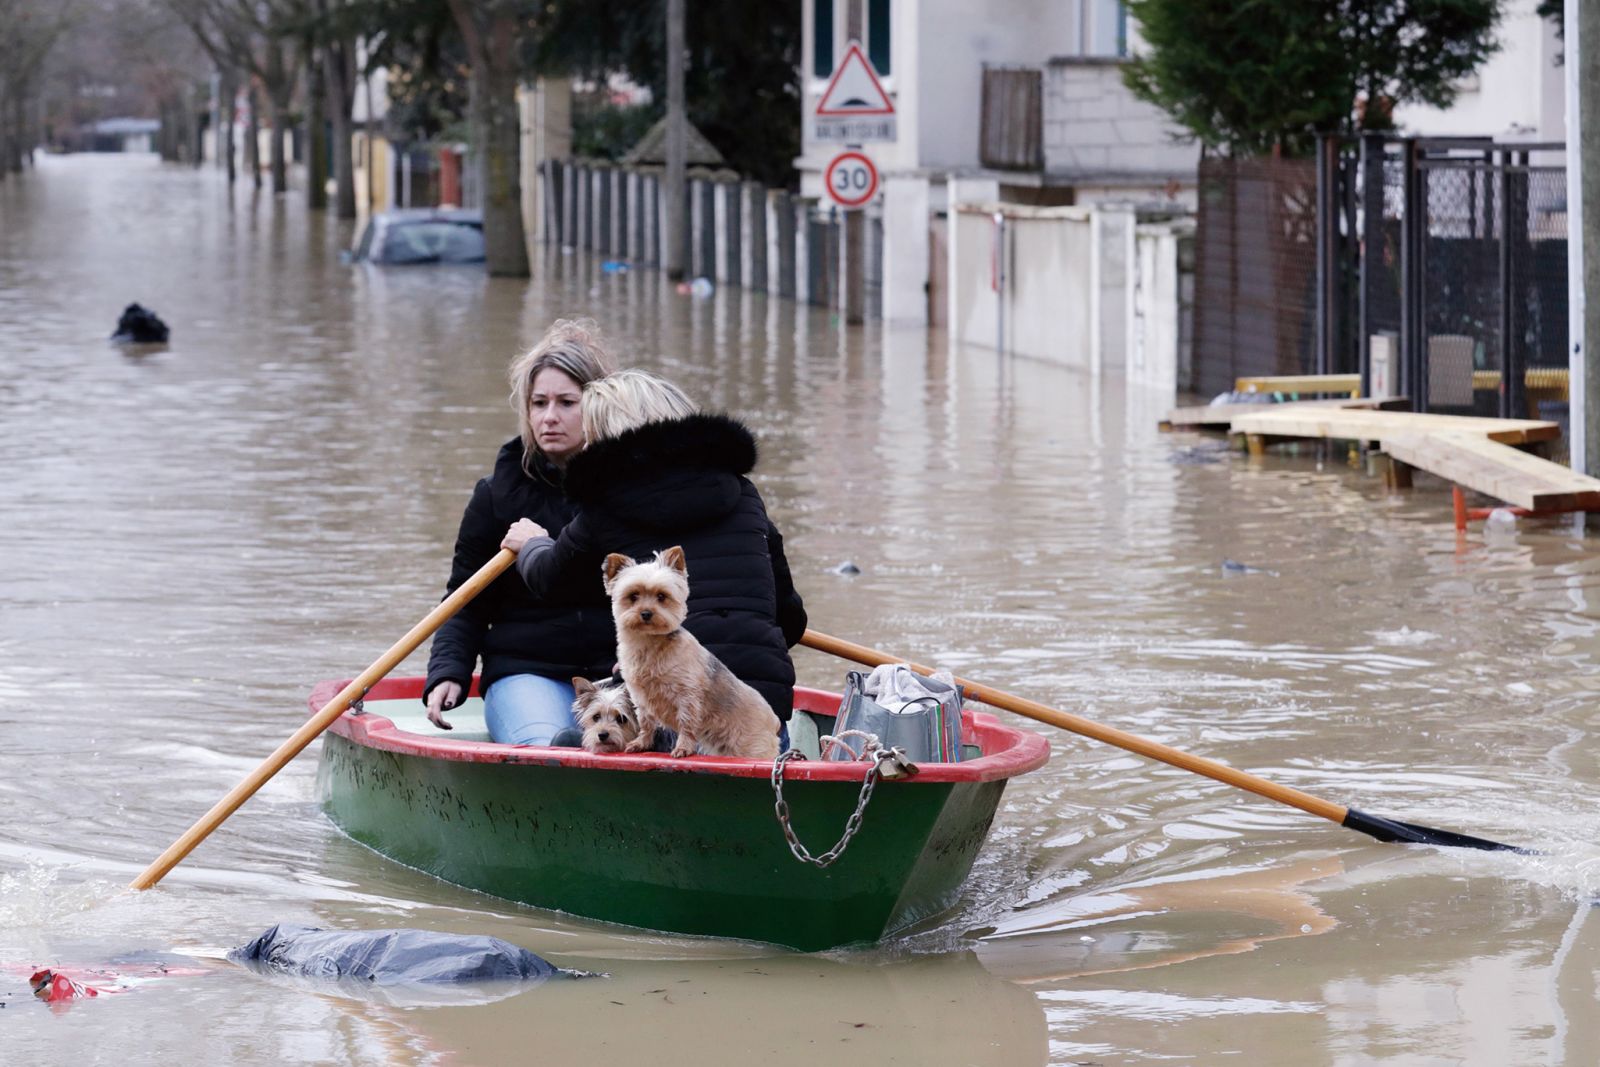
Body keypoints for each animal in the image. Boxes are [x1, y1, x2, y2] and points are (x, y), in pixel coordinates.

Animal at [604, 547, 780, 764]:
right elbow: (645, 722)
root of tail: (775, 720)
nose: (646, 613)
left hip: (755, 750)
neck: (650, 644)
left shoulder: (687, 696)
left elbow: (686, 724)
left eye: (661, 596)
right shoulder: (641, 698)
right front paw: (641, 743)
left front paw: (683, 748)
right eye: (633, 595)